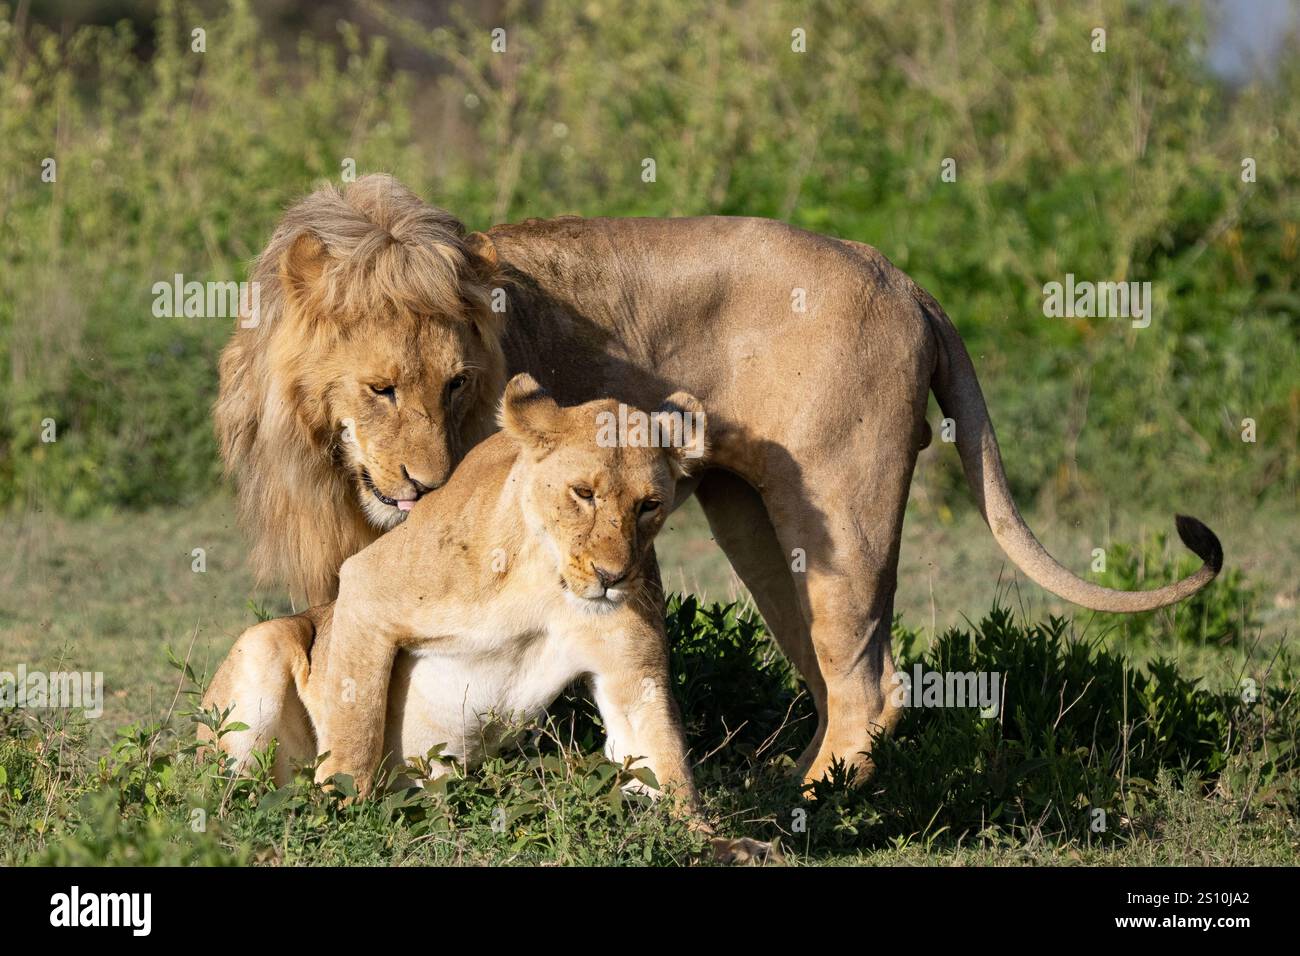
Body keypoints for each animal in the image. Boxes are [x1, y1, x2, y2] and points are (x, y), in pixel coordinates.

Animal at [203, 377, 767, 860]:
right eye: (583, 493)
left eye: (648, 506)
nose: (612, 576)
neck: (548, 582)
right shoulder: (365, 586)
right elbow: (355, 730)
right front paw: (343, 823)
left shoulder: (631, 671)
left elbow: (663, 762)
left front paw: (718, 844)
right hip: (265, 643)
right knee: (227, 795)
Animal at [216, 174, 1223, 787]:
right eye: (383, 388)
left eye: (458, 383)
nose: (429, 485)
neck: (327, 455)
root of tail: (901, 275)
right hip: (763, 522)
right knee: (831, 676)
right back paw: (799, 783)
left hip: (847, 511)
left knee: (872, 685)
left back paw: (814, 813)